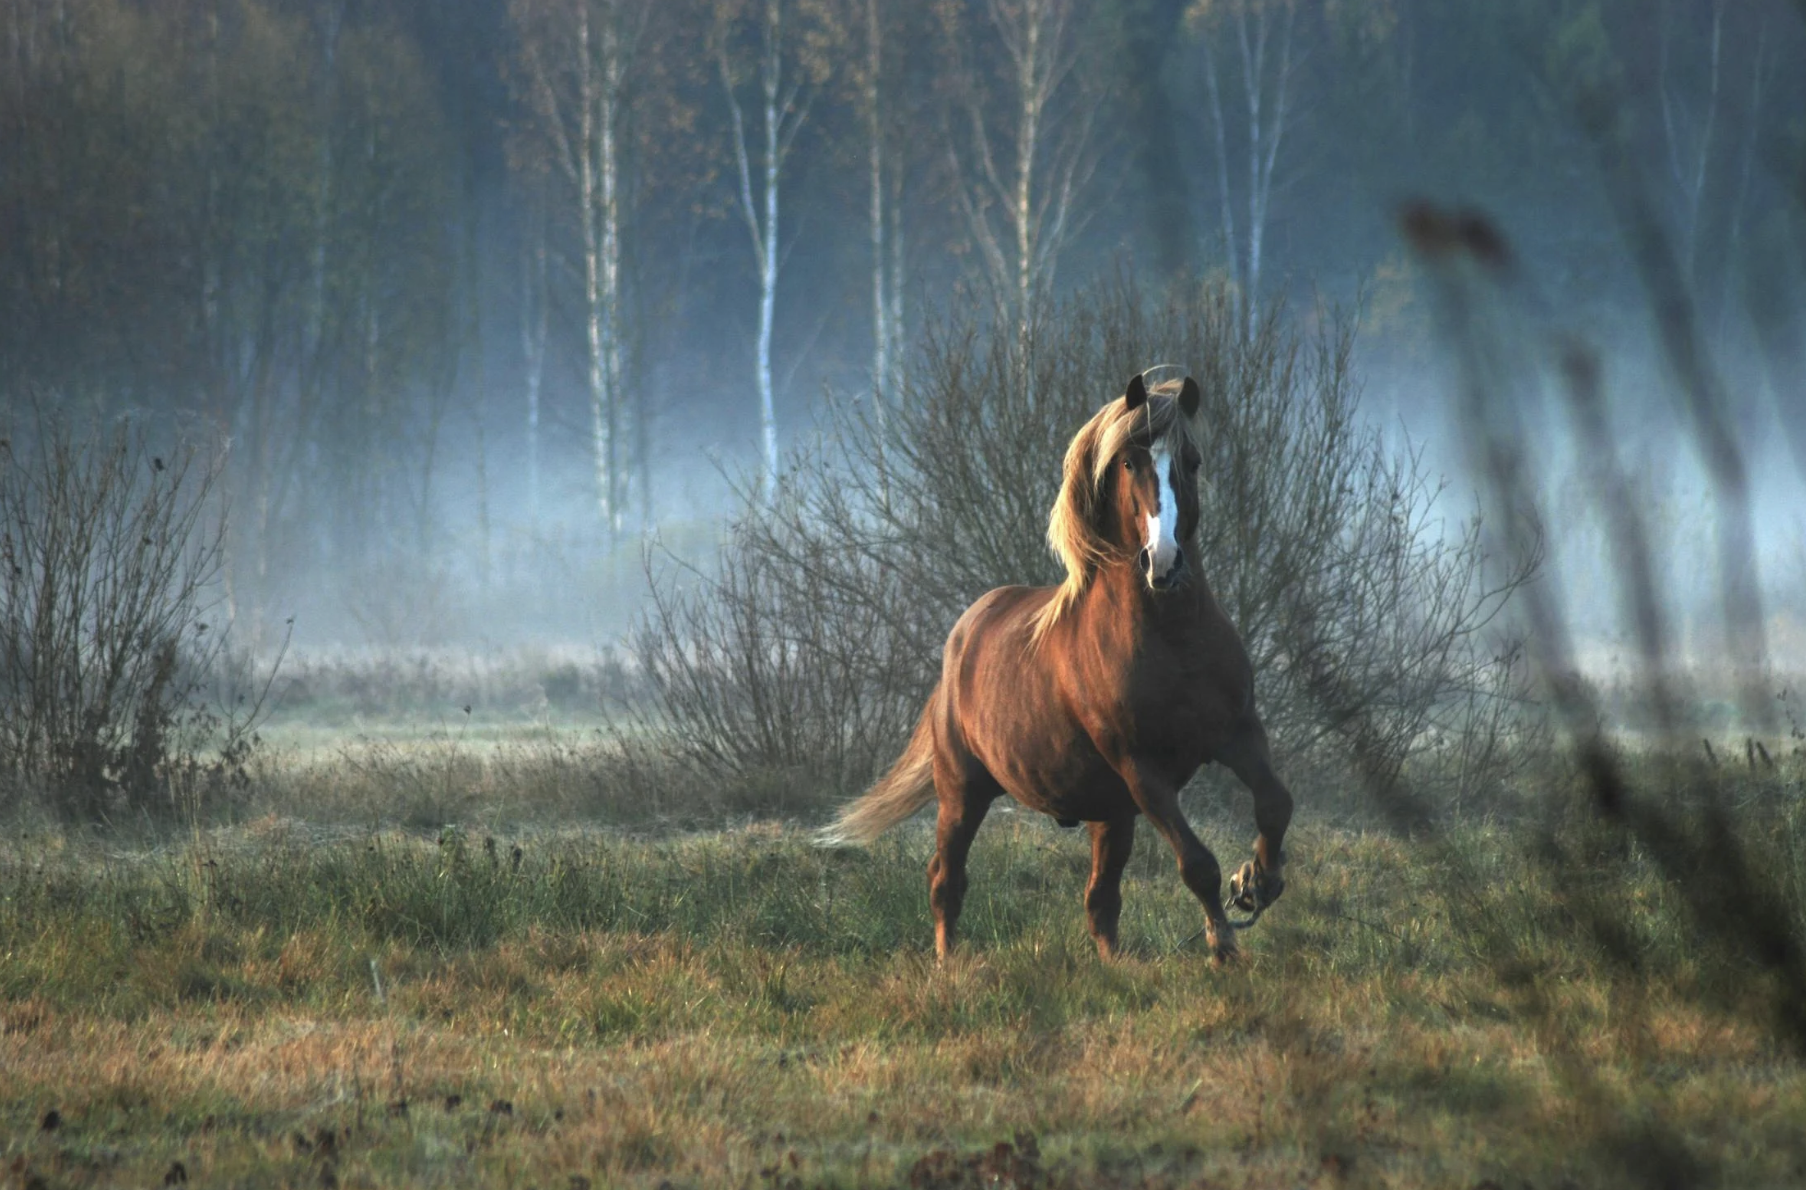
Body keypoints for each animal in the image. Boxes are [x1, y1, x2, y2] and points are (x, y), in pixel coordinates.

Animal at [819, 375, 1300, 967]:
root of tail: (963, 636)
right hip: (963, 790)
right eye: (1129, 463)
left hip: (1109, 812)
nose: (1164, 563)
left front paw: (1257, 881)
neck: (1174, 640)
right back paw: (949, 964)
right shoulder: (1143, 769)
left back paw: (1116, 966)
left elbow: (1275, 803)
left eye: (1192, 461)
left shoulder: (1236, 732)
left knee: (1100, 899)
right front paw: (1224, 942)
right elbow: (1197, 863)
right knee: (946, 880)